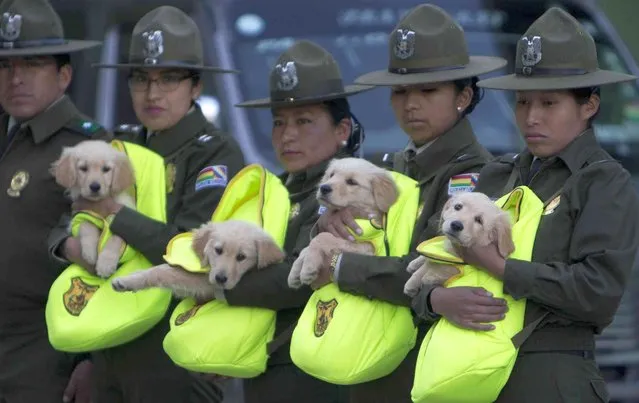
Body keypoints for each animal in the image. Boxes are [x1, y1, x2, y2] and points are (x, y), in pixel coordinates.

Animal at [52, 140, 136, 280]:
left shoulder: (121, 214)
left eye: (106, 169)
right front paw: (90, 251)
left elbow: (116, 237)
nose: (95, 186)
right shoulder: (77, 217)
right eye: (83, 168)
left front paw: (106, 264)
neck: (97, 204)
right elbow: (86, 224)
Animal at [111, 221, 286, 304]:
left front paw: (127, 281)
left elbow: (162, 271)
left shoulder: (206, 284)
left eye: (241, 257)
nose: (220, 279)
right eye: (218, 250)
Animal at [288, 156, 398, 288]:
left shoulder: (367, 248)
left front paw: (308, 268)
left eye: (351, 182)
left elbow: (321, 237)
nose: (323, 188)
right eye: (331, 175)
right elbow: (306, 248)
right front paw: (295, 272)